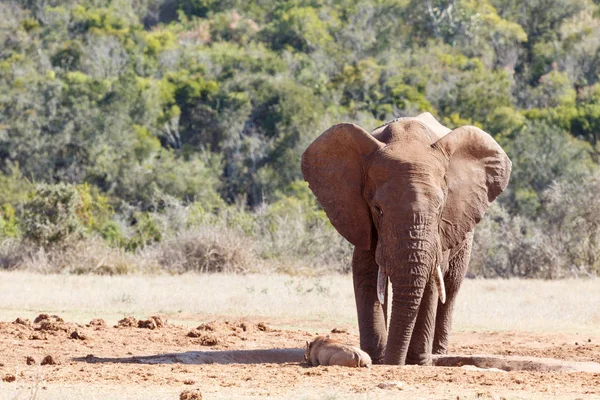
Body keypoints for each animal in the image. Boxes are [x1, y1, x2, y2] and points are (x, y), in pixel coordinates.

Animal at [300, 112, 510, 366]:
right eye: (378, 209)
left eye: (439, 208)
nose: (393, 362)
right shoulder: (360, 216)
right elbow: (365, 272)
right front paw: (377, 356)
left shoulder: (442, 228)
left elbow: (432, 280)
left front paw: (418, 362)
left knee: (451, 287)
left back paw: (437, 353)